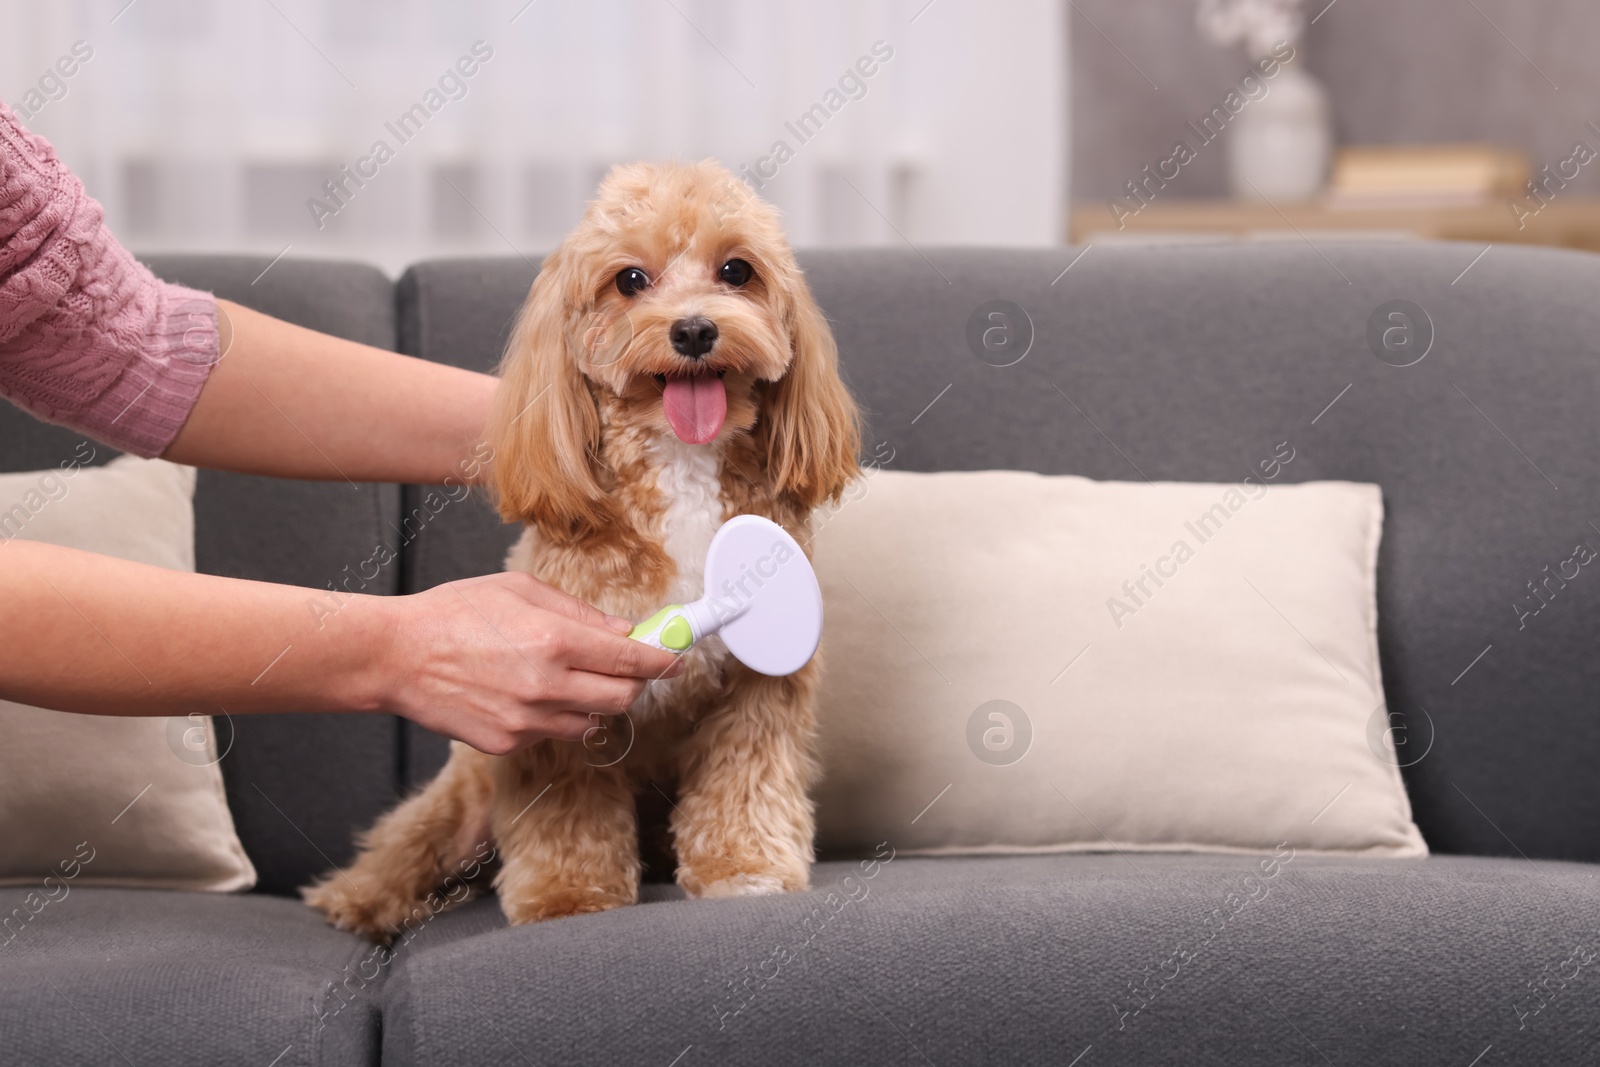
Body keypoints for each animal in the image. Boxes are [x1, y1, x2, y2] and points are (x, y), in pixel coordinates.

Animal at [307, 158, 870, 934]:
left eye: (736, 270)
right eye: (629, 279)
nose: (695, 329)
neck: (681, 466)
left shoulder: (757, 693)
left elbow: (745, 782)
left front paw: (744, 868)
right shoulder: (562, 715)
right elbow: (568, 809)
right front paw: (567, 895)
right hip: (461, 793)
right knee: (404, 842)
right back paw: (358, 899)